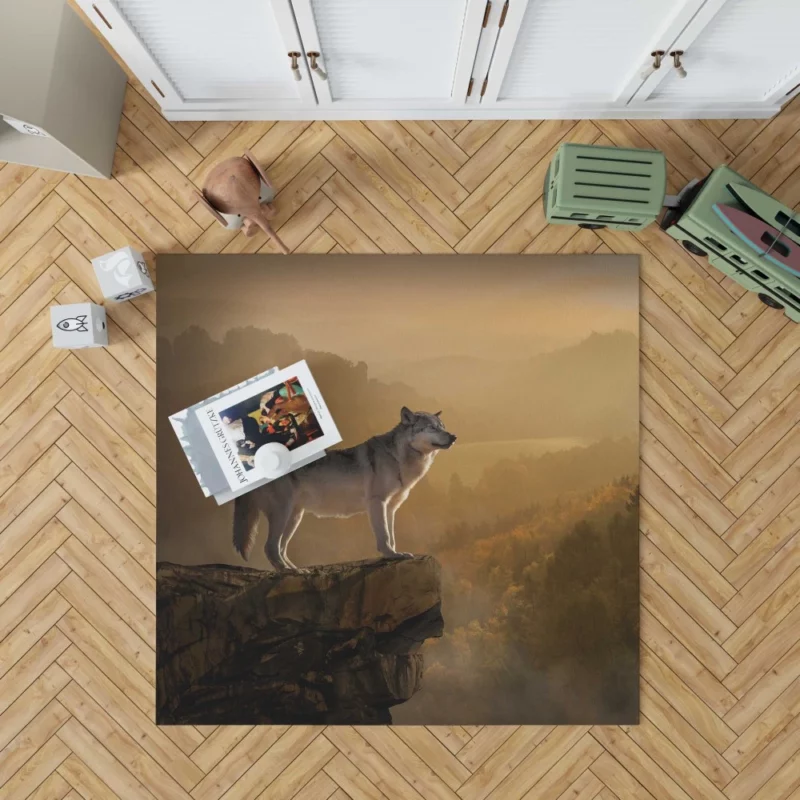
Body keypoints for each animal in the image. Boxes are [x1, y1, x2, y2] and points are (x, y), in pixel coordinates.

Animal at [231, 410, 456, 572]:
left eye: (443, 427)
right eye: (431, 428)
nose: (454, 436)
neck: (398, 458)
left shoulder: (391, 508)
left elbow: (391, 535)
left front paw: (396, 553)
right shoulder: (377, 503)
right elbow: (384, 536)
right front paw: (391, 554)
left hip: (294, 517)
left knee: (280, 548)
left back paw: (295, 570)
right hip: (283, 514)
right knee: (270, 547)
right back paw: (291, 572)